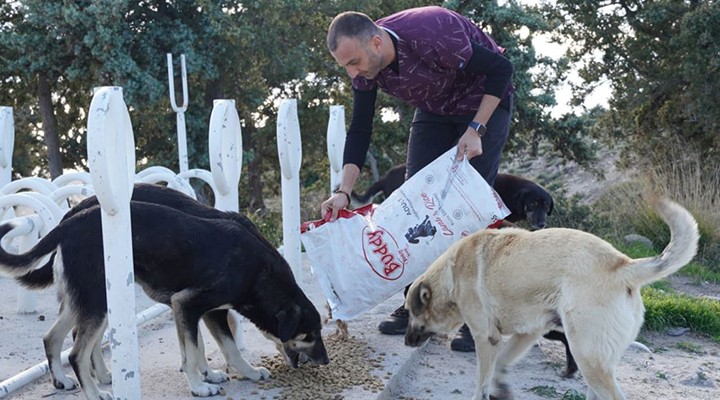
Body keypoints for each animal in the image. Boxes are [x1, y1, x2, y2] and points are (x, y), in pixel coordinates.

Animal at [404, 198, 696, 400]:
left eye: (410, 311)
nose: (406, 342)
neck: (451, 274)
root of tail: (622, 265)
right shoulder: (527, 333)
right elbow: (501, 365)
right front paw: (503, 388)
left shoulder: (486, 338)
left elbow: (481, 384)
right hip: (594, 361)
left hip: (587, 356)